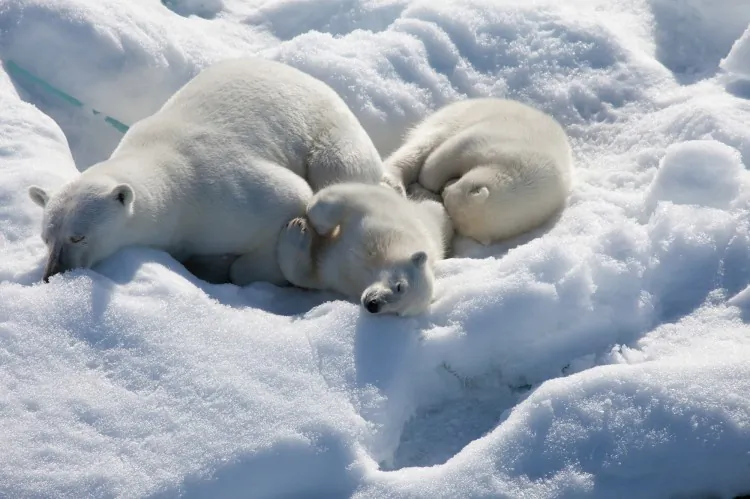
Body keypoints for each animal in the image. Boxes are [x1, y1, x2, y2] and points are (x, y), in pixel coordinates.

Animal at [27, 56, 385, 285]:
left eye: (78, 235)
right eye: (46, 237)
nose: (51, 274)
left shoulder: (222, 193)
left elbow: (292, 198)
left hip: (332, 138)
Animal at [276, 182, 453, 316]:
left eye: (397, 313)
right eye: (400, 286)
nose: (373, 305)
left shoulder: (340, 276)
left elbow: (311, 275)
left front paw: (296, 231)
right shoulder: (379, 220)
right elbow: (350, 198)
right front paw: (313, 225)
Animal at [383, 97, 574, 245]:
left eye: (447, 199)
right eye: (449, 194)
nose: (443, 189)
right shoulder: (499, 142)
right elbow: (450, 153)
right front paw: (426, 182)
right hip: (453, 117)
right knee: (423, 144)